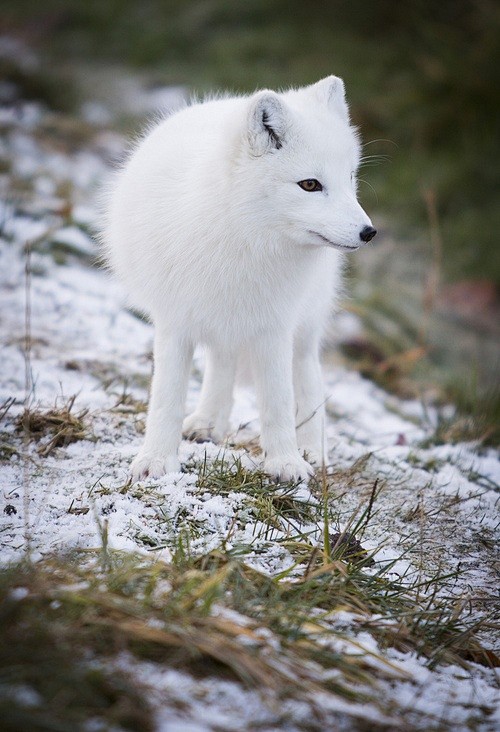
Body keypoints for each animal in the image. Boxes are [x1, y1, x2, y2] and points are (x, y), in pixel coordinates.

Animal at [103, 77, 376, 484]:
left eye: (351, 178)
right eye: (310, 184)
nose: (368, 232)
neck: (242, 239)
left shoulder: (274, 328)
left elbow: (279, 401)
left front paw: (285, 463)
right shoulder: (174, 323)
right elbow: (166, 398)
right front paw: (156, 461)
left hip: (303, 327)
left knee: (307, 377)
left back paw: (312, 448)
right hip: (221, 320)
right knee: (222, 361)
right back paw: (207, 423)